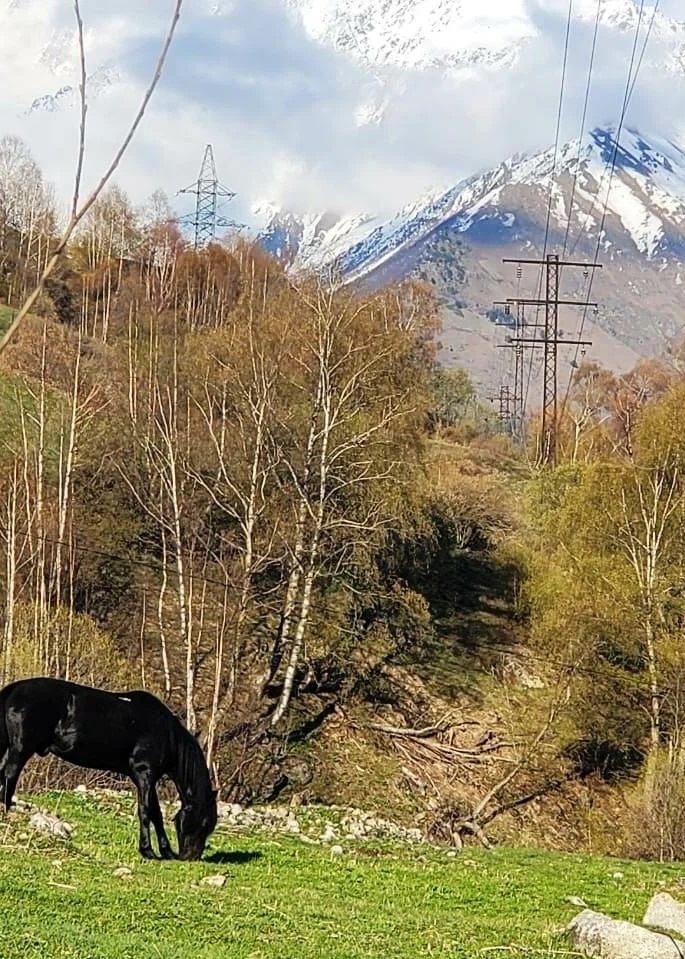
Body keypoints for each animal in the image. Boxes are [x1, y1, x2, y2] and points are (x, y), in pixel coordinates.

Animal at [0, 676, 216, 864]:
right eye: (204, 822)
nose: (191, 857)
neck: (165, 732)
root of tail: (15, 689)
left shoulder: (148, 778)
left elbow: (156, 813)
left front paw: (166, 851)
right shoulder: (144, 773)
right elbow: (146, 810)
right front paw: (147, 850)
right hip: (21, 748)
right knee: (10, 775)